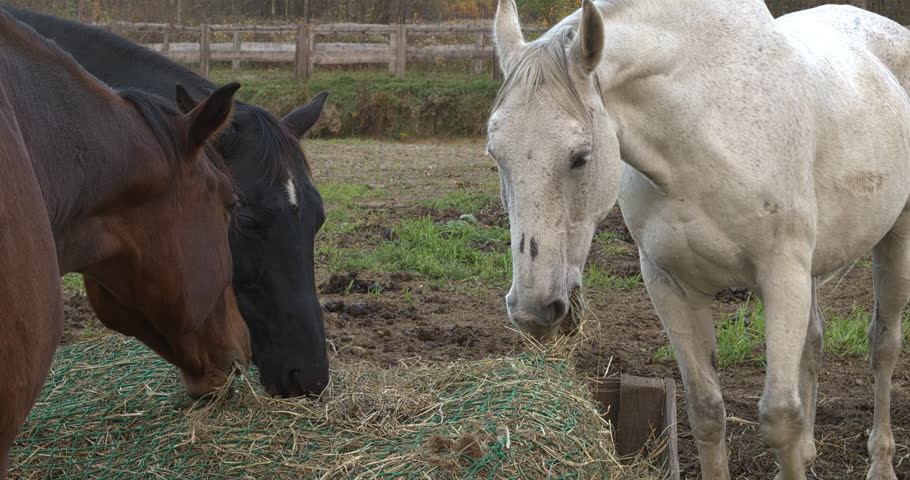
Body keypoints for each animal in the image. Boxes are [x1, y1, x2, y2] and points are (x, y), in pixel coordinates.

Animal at [488, 0, 910, 478]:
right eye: (495, 155)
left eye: (580, 156)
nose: (532, 309)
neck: (704, 125)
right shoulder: (673, 286)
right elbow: (706, 411)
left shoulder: (782, 276)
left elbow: (780, 415)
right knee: (814, 343)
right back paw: (808, 452)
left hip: (894, 239)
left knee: (883, 346)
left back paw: (881, 463)